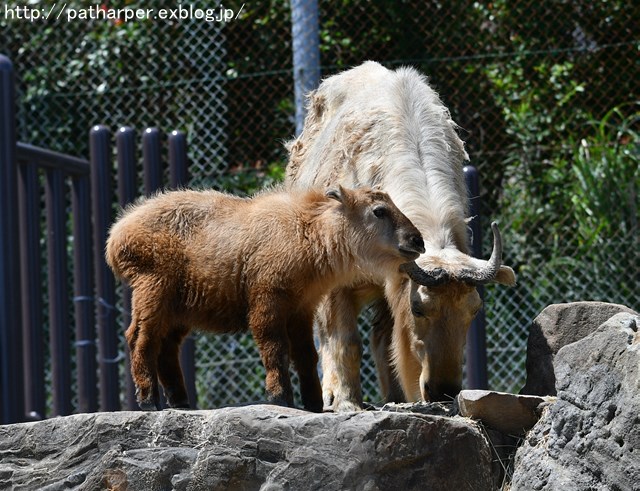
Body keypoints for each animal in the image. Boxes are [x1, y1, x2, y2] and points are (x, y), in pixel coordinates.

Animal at [105, 186, 424, 414]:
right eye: (379, 211)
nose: (417, 241)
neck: (306, 233)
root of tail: (116, 234)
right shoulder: (268, 301)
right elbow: (275, 349)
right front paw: (280, 397)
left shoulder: (302, 309)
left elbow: (306, 355)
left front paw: (313, 403)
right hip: (153, 292)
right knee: (140, 339)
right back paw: (148, 401)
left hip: (178, 311)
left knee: (166, 349)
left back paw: (180, 402)